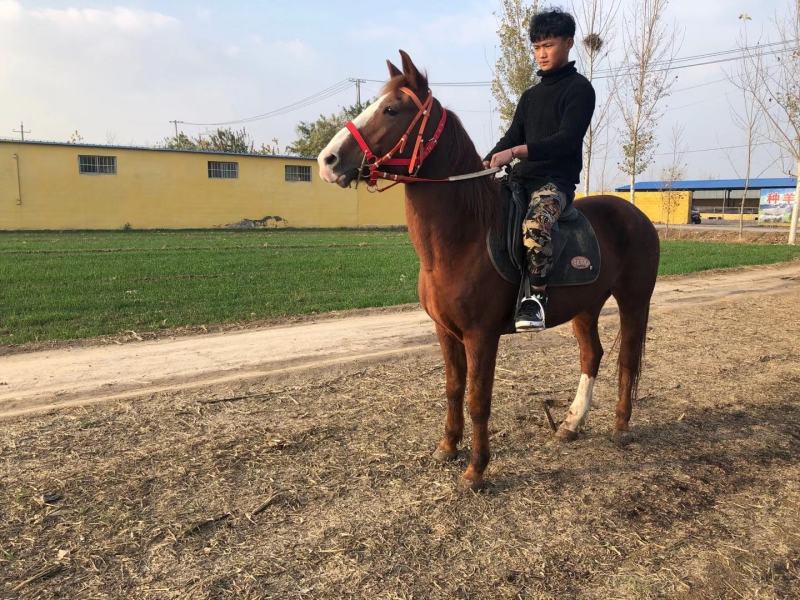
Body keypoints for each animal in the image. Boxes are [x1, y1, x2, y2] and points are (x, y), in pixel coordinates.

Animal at [317, 51, 660, 490]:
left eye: (392, 109)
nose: (328, 161)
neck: (465, 237)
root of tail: (637, 215)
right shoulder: (446, 332)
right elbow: (453, 389)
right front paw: (447, 448)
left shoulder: (481, 336)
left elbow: (478, 399)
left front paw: (476, 470)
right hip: (586, 307)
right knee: (592, 356)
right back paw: (570, 425)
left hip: (634, 300)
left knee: (627, 360)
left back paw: (620, 428)